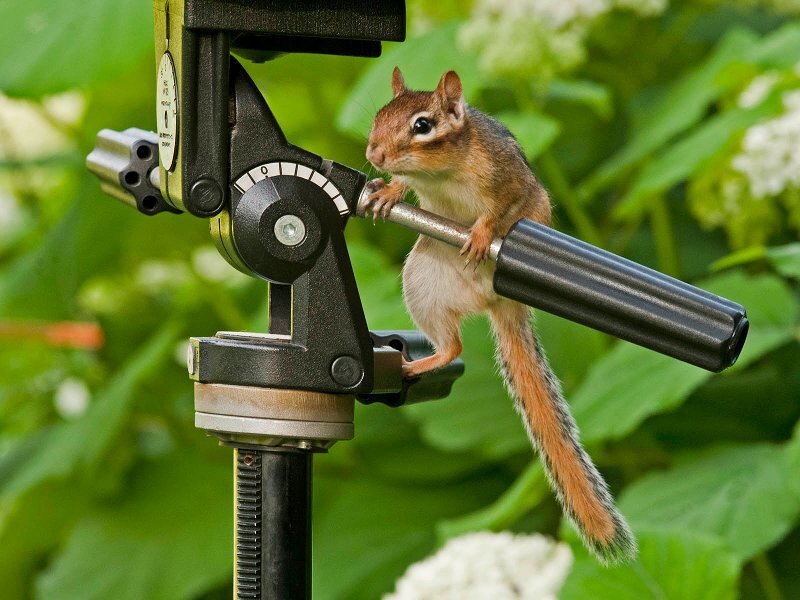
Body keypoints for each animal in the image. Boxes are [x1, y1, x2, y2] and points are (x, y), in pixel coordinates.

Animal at [363, 67, 636, 564]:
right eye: (378, 115)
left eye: (423, 125)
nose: (373, 153)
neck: (442, 174)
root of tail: (499, 305)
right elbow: (403, 184)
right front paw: (388, 191)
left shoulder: (505, 177)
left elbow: (501, 207)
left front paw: (482, 232)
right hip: (421, 281)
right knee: (452, 344)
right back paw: (420, 362)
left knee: (455, 343)